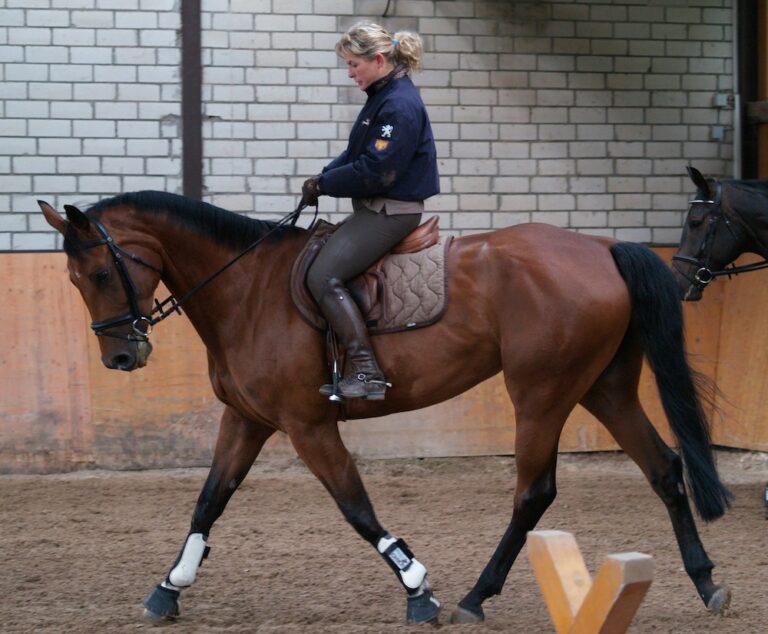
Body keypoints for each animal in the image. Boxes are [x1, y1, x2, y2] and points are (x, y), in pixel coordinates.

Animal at [40, 190, 732, 624]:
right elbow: (209, 500)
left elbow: (356, 507)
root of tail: (603, 248)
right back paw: (706, 582)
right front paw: (169, 588)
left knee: (534, 492)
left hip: (542, 392)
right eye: (72, 280)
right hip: (602, 387)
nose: (120, 357)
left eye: (100, 273)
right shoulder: (249, 419)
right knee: (664, 468)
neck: (246, 290)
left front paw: (418, 589)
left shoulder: (307, 425)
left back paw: (476, 596)